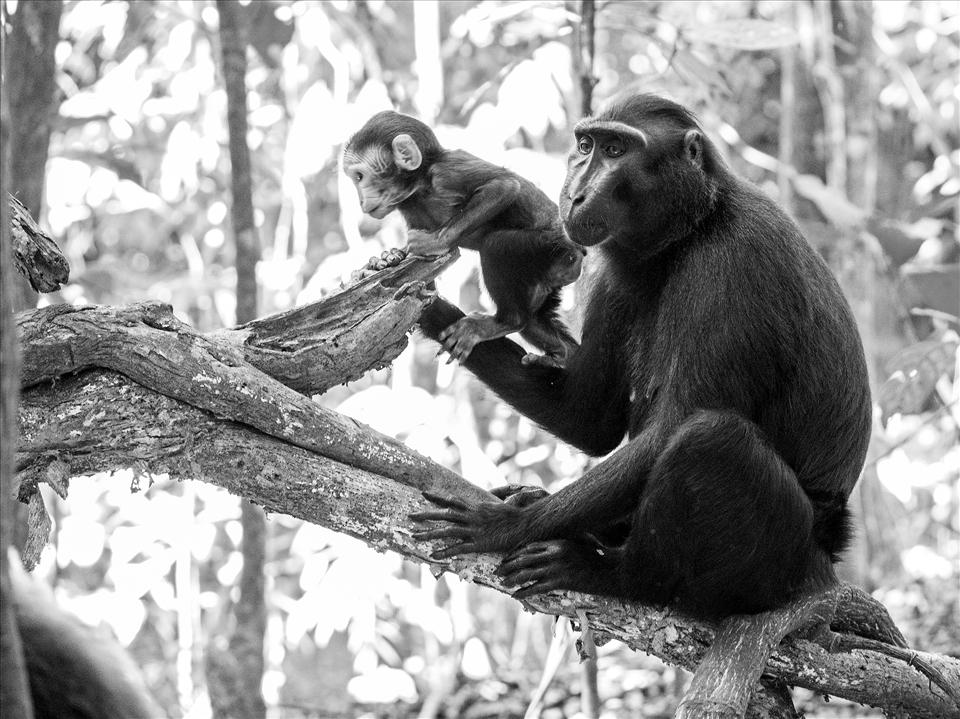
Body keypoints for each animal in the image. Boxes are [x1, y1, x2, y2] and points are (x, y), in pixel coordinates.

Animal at [343, 110, 586, 367]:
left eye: (359, 176)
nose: (361, 201)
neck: (420, 186)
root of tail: (577, 256)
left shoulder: (447, 172)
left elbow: (504, 187)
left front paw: (434, 243)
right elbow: (421, 286)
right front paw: (384, 260)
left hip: (552, 249)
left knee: (496, 245)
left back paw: (505, 322)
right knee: (534, 324)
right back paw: (562, 354)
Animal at [410, 93, 872, 620]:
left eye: (616, 150)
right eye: (586, 145)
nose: (575, 195)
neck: (692, 229)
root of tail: (827, 559)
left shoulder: (736, 263)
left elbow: (669, 428)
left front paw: (506, 525)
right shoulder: (614, 272)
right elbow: (587, 421)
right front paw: (422, 306)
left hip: (777, 566)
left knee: (710, 438)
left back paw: (619, 575)